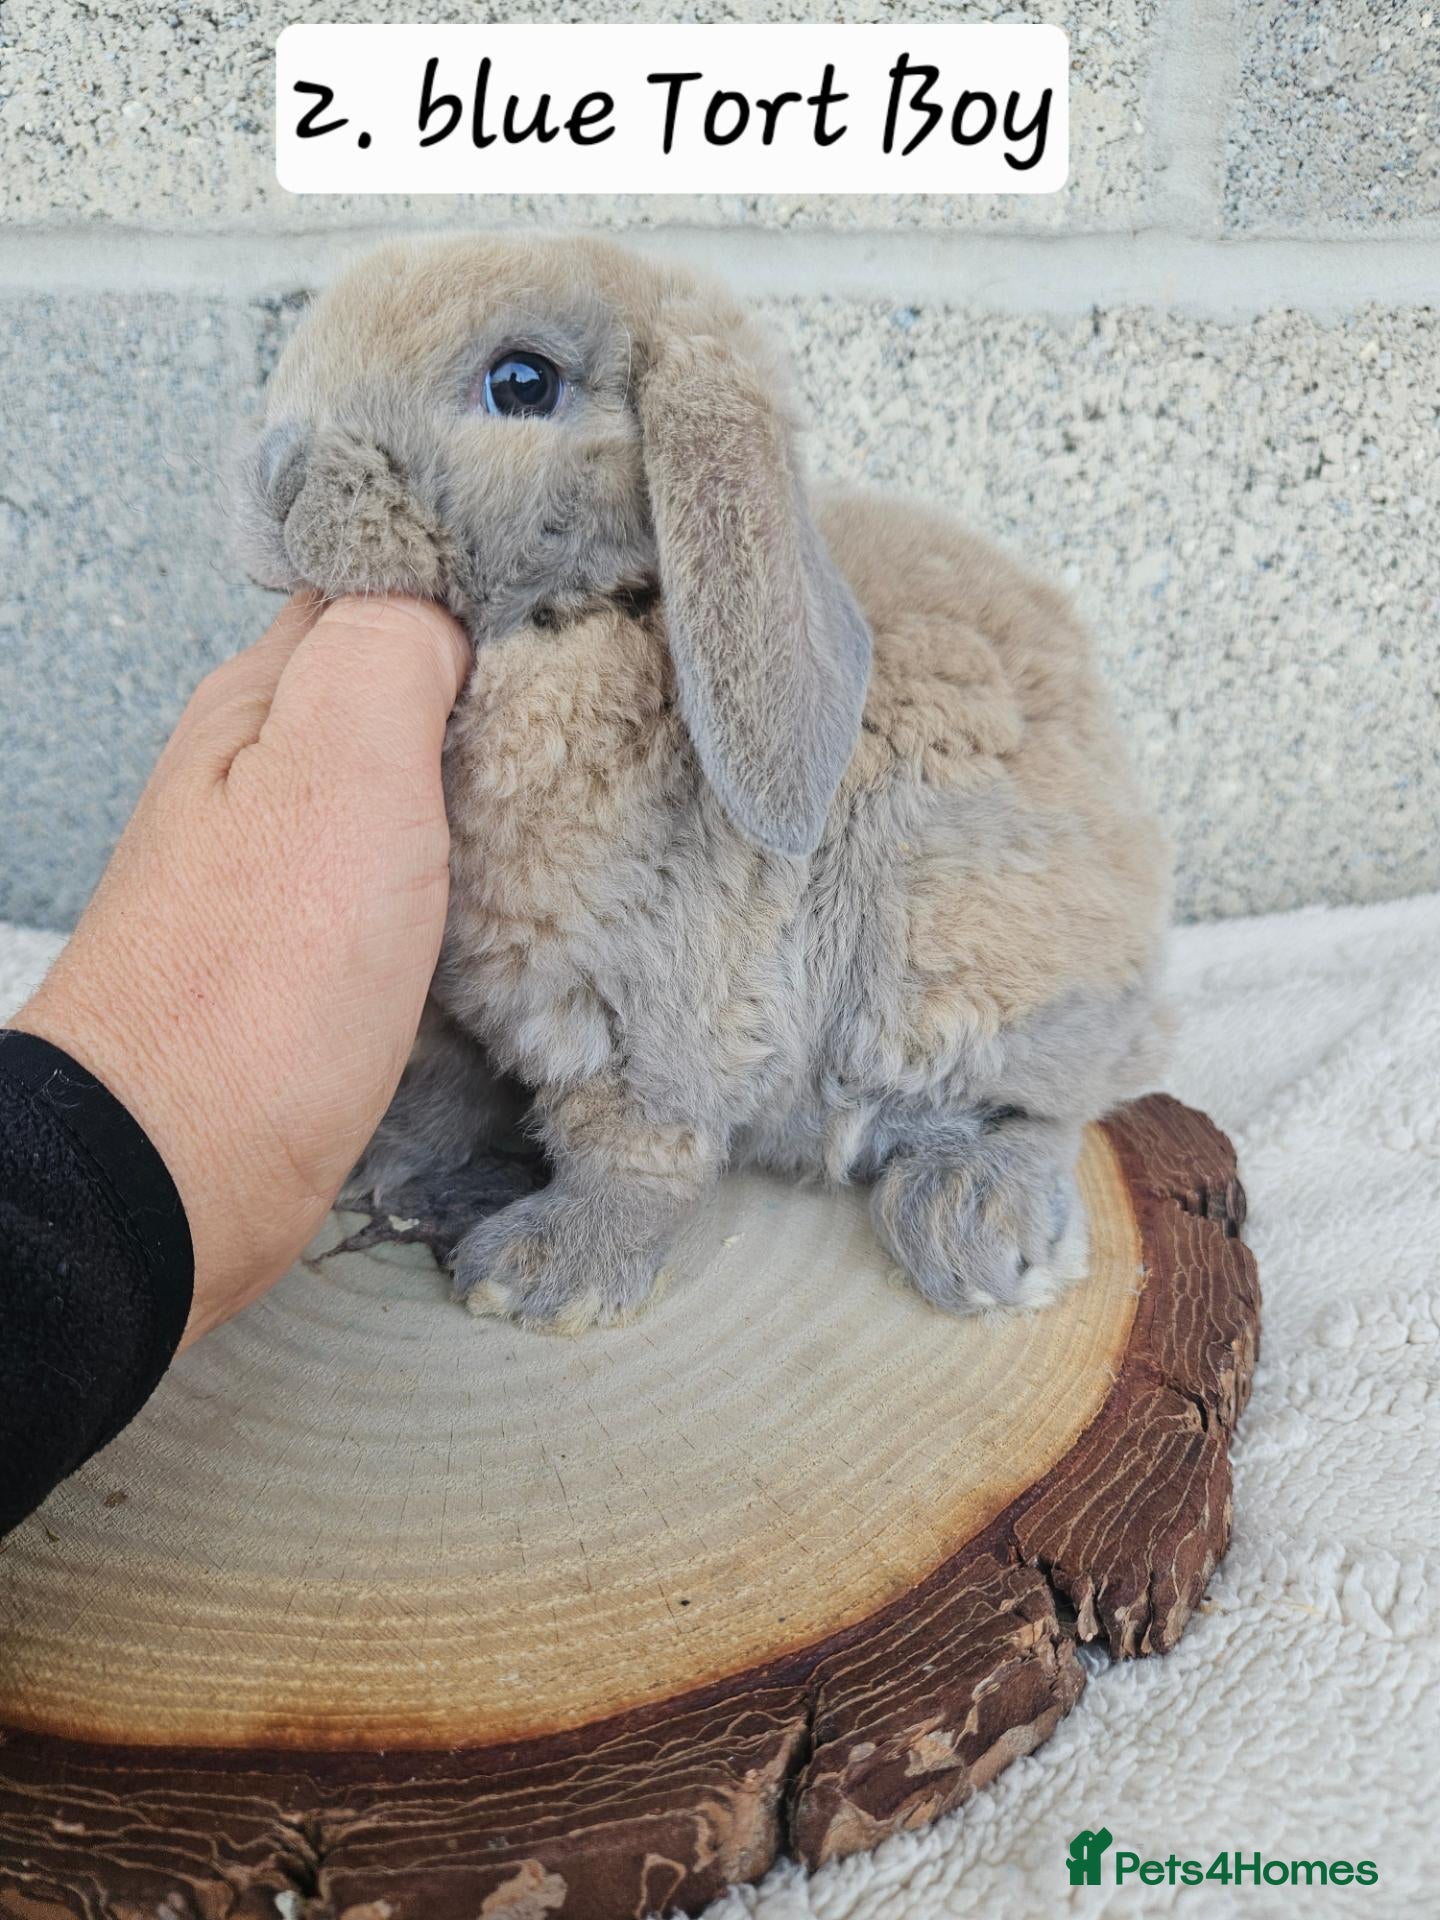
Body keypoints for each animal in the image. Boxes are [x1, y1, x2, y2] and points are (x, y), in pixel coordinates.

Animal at [238, 235, 1171, 1332]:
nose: (275, 479)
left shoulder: (648, 1017)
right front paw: (391, 1163)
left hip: (973, 961)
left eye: (523, 382)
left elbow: (633, 1151)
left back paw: (974, 1226)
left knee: (1050, 1105)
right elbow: (442, 1088)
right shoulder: (459, 1009)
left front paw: (543, 1276)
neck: (591, 626)